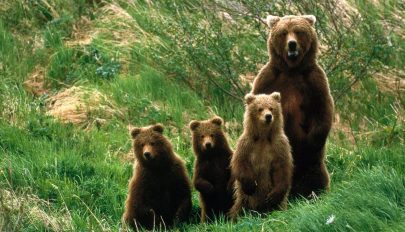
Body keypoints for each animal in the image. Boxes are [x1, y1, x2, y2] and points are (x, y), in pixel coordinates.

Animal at [251, 14, 332, 198]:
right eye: (283, 33)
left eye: (298, 31)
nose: (292, 44)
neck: (292, 70)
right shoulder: (268, 79)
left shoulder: (314, 81)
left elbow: (322, 110)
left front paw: (311, 142)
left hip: (312, 166)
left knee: (316, 175)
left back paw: (313, 193)